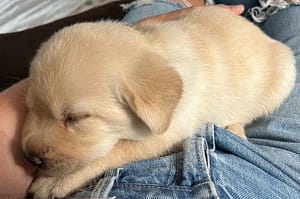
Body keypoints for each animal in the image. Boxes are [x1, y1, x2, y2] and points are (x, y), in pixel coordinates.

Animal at [21, 6, 296, 199]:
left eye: (75, 118)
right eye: (29, 107)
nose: (29, 158)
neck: (156, 50)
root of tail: (264, 35)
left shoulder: (165, 135)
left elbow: (116, 150)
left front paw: (54, 181)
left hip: (284, 74)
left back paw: (235, 130)